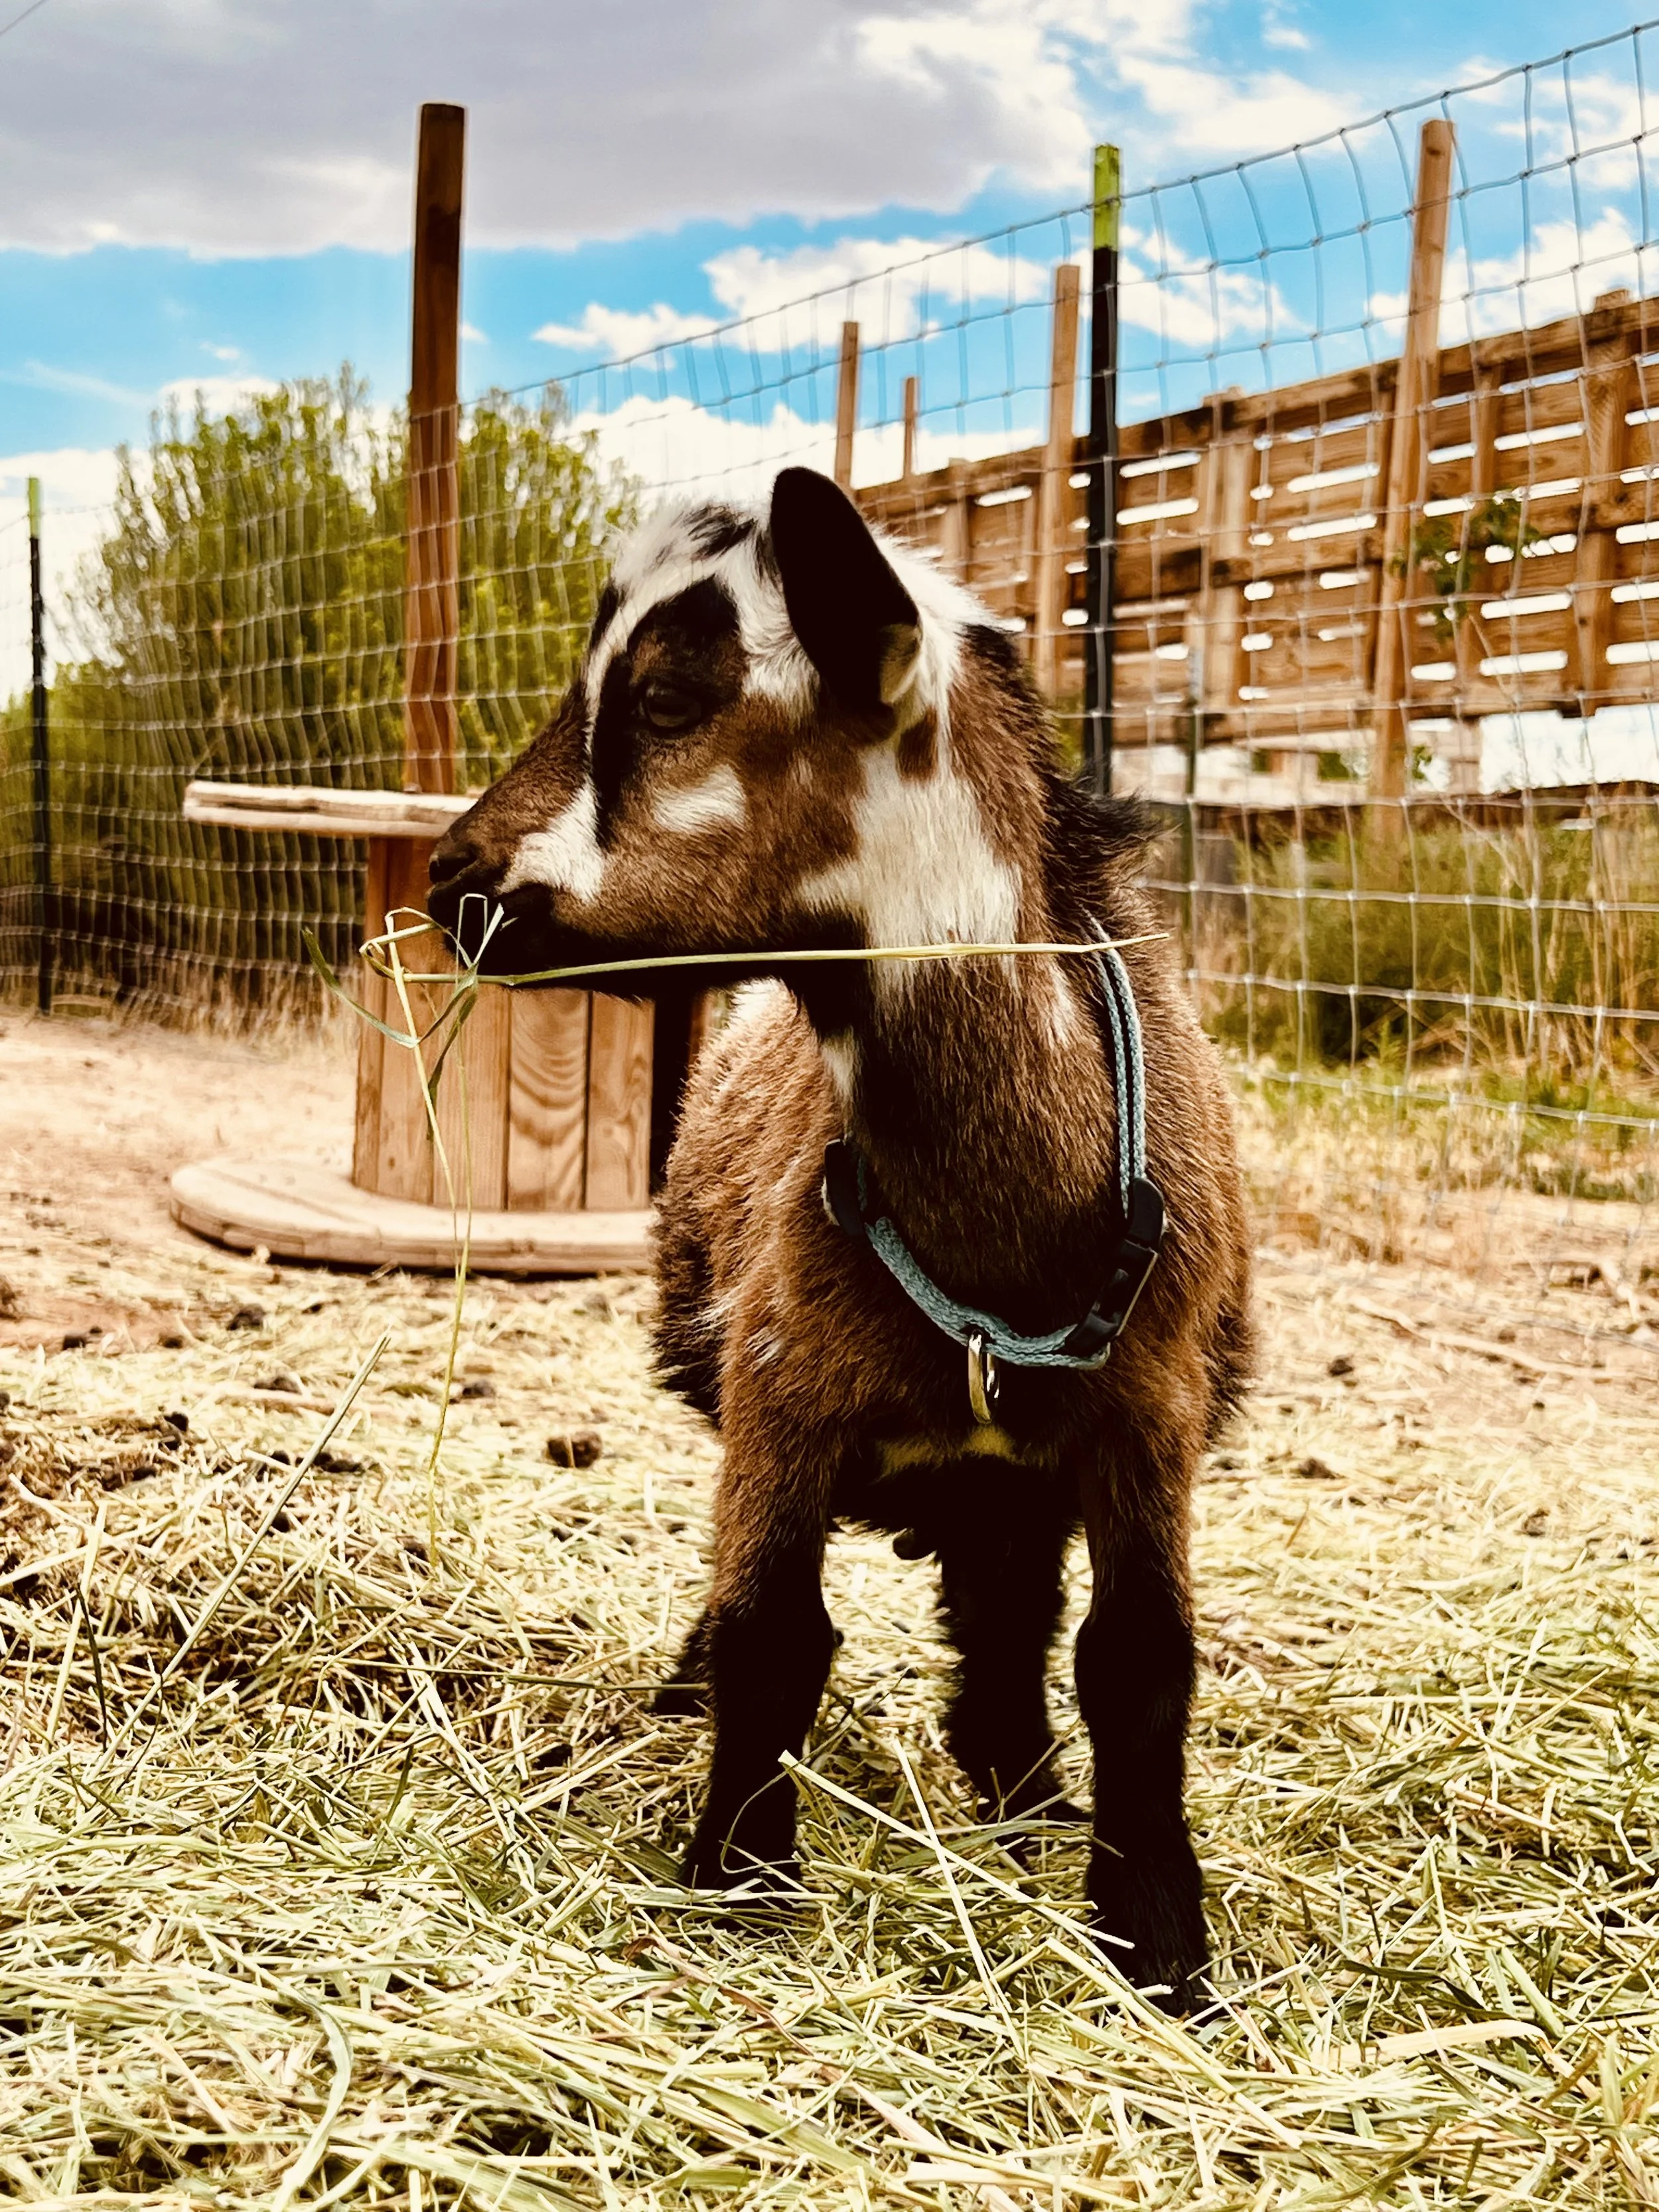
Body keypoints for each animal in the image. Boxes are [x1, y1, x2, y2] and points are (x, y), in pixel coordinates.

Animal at [428, 468, 1253, 2009]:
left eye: (668, 695)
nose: (454, 880)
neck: (998, 1241)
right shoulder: (781, 1383)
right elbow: (772, 1630)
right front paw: (739, 1873)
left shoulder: (1149, 1409)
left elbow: (1137, 1657)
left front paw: (1158, 1936)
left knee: (1006, 1608)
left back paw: (1022, 1785)